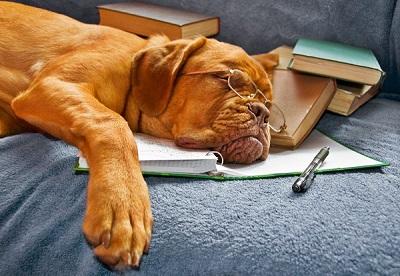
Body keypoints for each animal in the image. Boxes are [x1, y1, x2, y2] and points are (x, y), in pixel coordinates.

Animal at [0, 1, 278, 270]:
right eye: (227, 78)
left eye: (269, 102)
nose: (263, 112)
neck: (133, 74)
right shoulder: (54, 85)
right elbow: (113, 124)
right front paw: (122, 204)